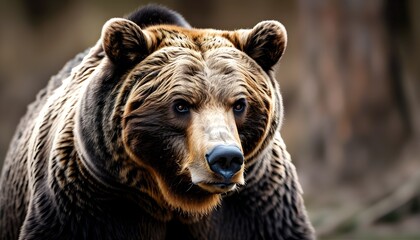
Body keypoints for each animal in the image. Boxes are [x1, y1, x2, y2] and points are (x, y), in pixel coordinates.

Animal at [0, 4, 316, 240]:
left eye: (240, 104)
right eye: (181, 105)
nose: (225, 159)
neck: (174, 199)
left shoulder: (255, 205)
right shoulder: (89, 201)